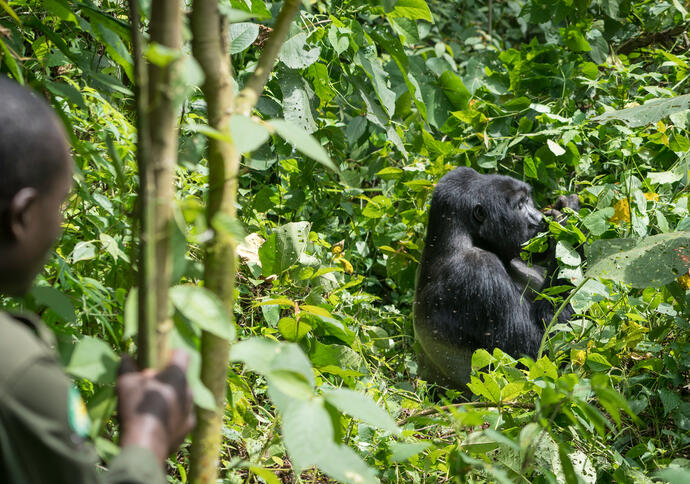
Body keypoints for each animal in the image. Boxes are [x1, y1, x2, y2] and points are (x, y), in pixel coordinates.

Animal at [414, 168, 576, 388]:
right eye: (519, 205)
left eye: (528, 200)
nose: (540, 219)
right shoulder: (477, 269)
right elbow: (540, 352)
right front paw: (569, 224)